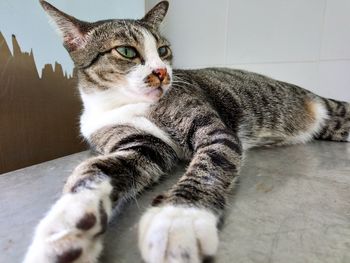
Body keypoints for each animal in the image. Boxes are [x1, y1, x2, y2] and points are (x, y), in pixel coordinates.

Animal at [24, 0, 350, 263]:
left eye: (163, 50)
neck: (125, 104)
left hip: (334, 115)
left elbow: (210, 163)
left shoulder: (213, 130)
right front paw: (66, 228)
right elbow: (96, 170)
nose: (161, 72)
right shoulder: (143, 146)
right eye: (127, 51)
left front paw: (179, 218)